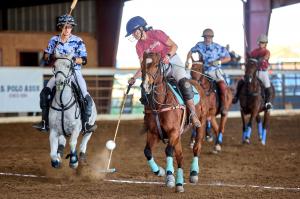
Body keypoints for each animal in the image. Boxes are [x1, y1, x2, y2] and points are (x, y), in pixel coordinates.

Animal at [141, 52, 207, 192]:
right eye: (141, 64)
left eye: (156, 65)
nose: (146, 86)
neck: (159, 105)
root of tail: (196, 82)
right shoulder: (153, 133)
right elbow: (147, 151)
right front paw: (160, 171)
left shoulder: (173, 132)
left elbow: (168, 151)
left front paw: (170, 177)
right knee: (180, 156)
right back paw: (180, 183)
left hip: (201, 123)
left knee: (197, 147)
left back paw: (193, 174)